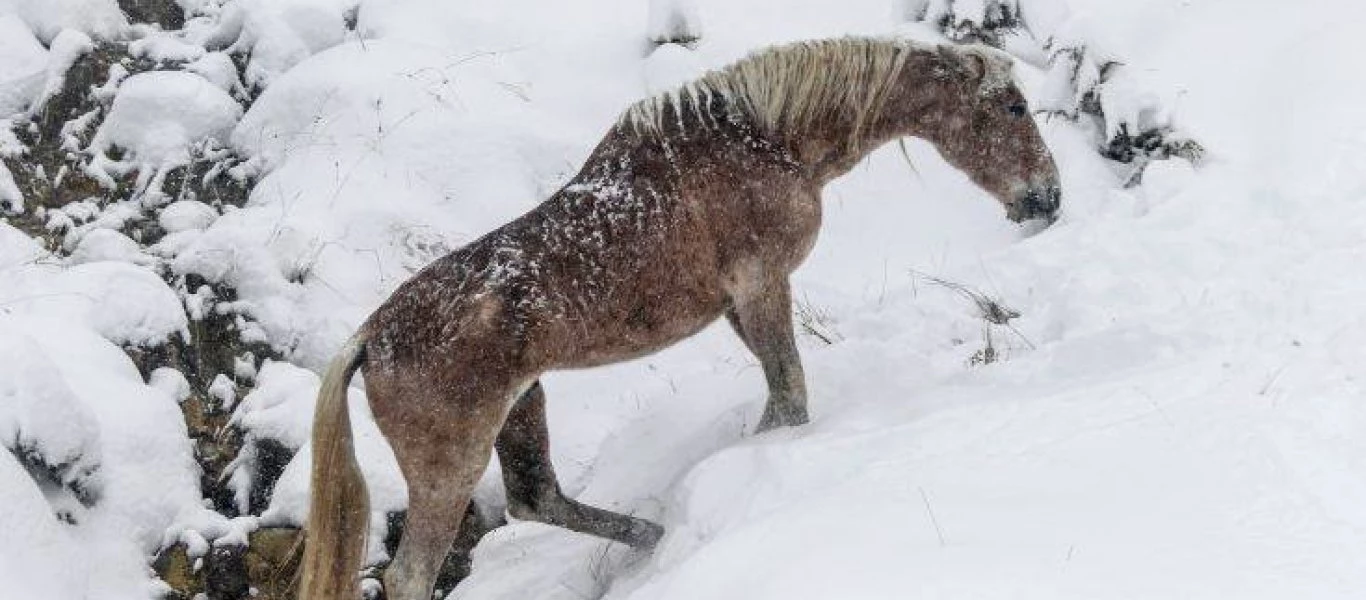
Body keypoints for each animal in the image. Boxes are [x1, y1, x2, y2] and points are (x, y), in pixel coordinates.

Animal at [304, 37, 1060, 600]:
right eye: (1014, 106)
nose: (1047, 197)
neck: (773, 139)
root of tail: (371, 338)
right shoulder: (761, 287)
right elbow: (789, 394)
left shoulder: (738, 306)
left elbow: (780, 394)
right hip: (451, 462)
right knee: (413, 573)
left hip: (522, 406)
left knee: (537, 498)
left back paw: (653, 536)